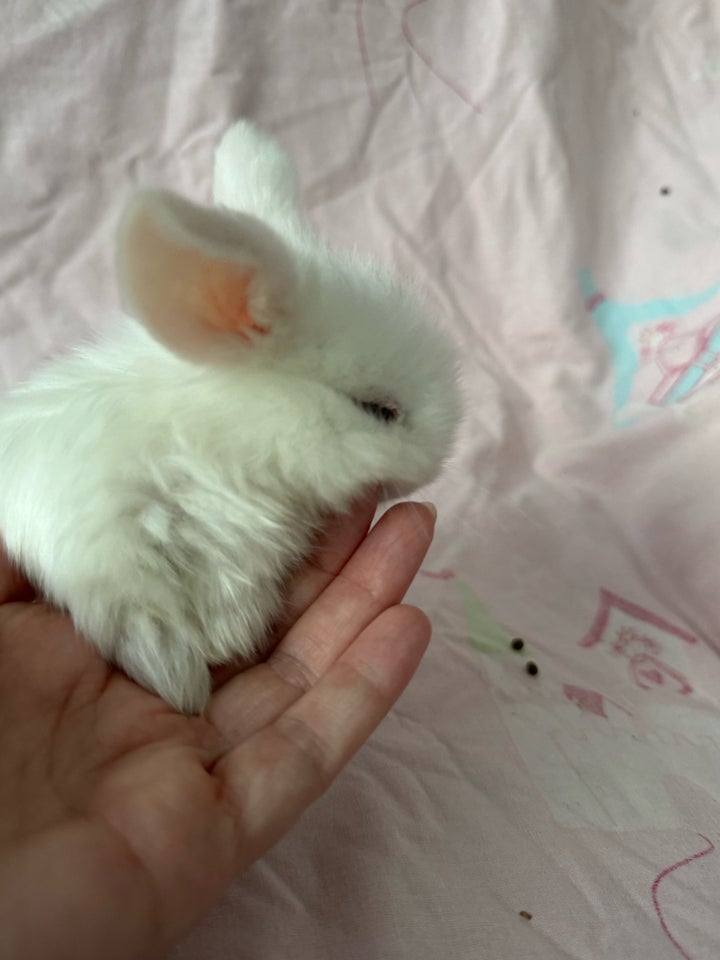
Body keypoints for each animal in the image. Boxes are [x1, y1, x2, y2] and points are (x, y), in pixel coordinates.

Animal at [0, 120, 462, 712]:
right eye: (378, 410)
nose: (434, 468)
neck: (224, 431)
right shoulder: (115, 537)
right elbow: (145, 611)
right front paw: (187, 678)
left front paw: (226, 639)